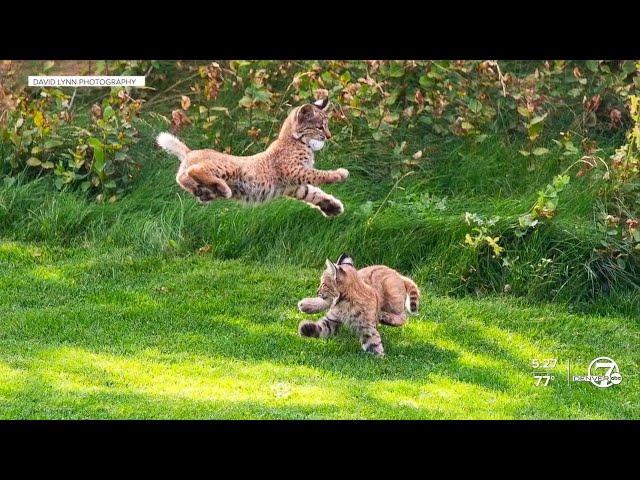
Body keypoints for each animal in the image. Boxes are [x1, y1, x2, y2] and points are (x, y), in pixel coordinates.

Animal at [156, 97, 350, 216]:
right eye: (319, 127)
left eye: (326, 126)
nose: (329, 136)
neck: (297, 141)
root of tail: (191, 151)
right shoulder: (293, 170)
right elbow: (317, 174)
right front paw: (339, 174)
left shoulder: (294, 186)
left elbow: (314, 193)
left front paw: (332, 207)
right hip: (230, 167)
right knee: (195, 170)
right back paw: (223, 188)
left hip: (198, 180)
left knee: (181, 177)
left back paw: (207, 190)